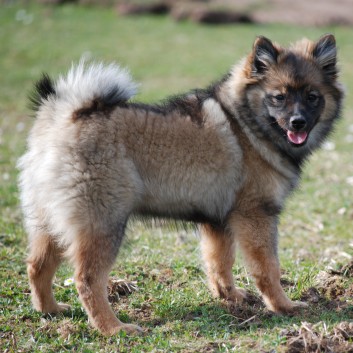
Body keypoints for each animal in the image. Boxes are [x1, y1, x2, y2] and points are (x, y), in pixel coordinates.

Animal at [17, 34, 342, 334]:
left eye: (312, 96)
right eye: (279, 97)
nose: (298, 122)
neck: (248, 124)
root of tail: (66, 116)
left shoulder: (218, 222)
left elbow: (219, 263)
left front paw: (231, 297)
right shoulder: (256, 216)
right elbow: (268, 269)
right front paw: (284, 306)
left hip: (51, 222)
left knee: (37, 266)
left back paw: (49, 310)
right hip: (103, 224)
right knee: (87, 280)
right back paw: (113, 328)